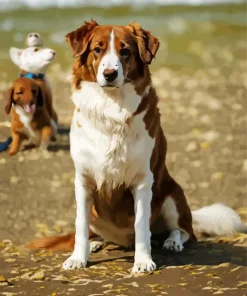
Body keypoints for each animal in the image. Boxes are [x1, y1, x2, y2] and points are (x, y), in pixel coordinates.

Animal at [27, 20, 247, 274]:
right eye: (97, 49)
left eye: (125, 51)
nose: (109, 74)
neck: (111, 106)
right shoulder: (83, 181)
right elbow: (80, 225)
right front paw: (77, 257)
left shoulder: (142, 181)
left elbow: (142, 225)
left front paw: (142, 261)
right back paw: (96, 242)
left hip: (172, 196)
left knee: (184, 231)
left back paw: (172, 241)